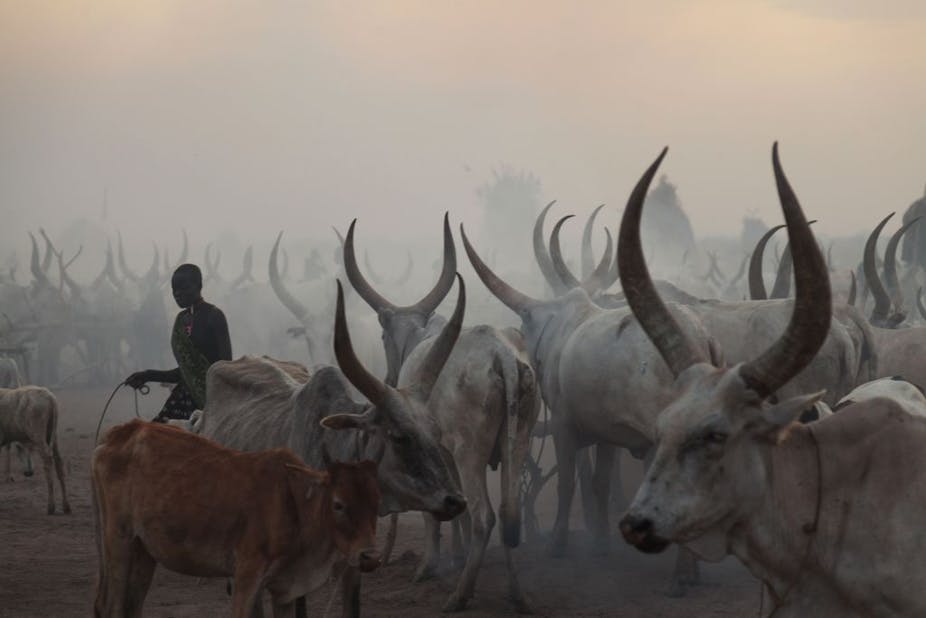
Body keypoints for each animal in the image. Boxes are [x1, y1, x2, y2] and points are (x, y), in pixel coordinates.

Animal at [0, 385, 69, 514]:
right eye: (19, 448)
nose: (29, 472)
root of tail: (50, 398)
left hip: (38, 434)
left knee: (47, 460)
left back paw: (51, 506)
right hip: (52, 434)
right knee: (58, 461)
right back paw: (66, 506)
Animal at [92, 419, 382, 618]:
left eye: (376, 504)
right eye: (338, 504)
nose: (369, 556)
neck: (295, 506)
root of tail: (124, 431)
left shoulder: (284, 591)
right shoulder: (246, 576)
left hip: (144, 551)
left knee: (132, 606)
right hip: (118, 540)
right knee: (111, 607)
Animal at [344, 216, 541, 612]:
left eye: (382, 336)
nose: (388, 378)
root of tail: (503, 356)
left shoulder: (436, 452)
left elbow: (434, 510)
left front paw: (430, 566)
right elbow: (455, 508)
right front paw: (456, 555)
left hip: (470, 452)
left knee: (484, 517)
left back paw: (460, 595)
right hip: (519, 442)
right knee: (509, 513)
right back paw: (517, 595)